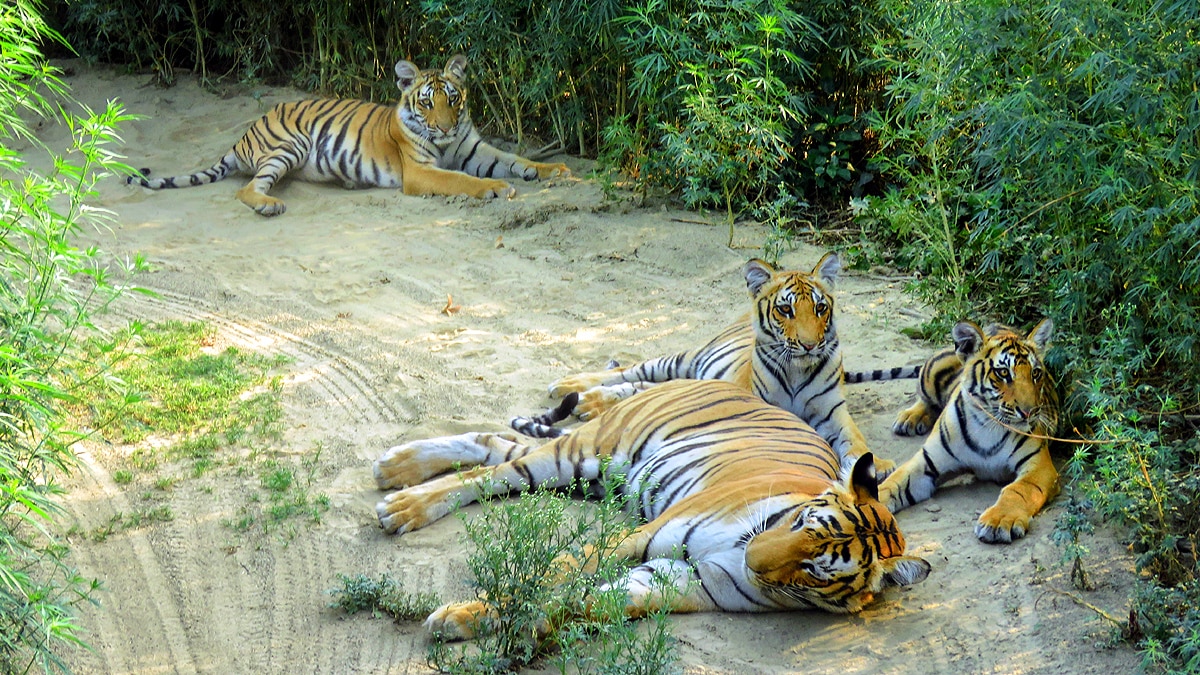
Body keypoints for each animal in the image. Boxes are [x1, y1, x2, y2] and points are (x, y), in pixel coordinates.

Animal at [127, 54, 570, 216]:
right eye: (427, 102)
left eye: (453, 98)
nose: (444, 126)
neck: (446, 141)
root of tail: (242, 136)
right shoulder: (419, 172)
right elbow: (459, 179)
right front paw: (495, 188)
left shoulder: (476, 149)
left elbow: (517, 160)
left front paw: (557, 171)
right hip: (290, 144)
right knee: (246, 188)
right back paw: (269, 205)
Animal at [373, 379, 931, 637]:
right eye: (801, 523)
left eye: (818, 570)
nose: (751, 560)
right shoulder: (640, 536)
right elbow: (565, 570)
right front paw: (468, 614)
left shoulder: (677, 580)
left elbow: (583, 602)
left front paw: (472, 621)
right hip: (589, 451)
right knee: (494, 470)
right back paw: (400, 497)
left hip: (593, 476)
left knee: (494, 446)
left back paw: (396, 472)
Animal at [541, 253, 891, 473]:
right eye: (785, 310)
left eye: (820, 308)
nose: (809, 344)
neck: (797, 369)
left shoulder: (834, 413)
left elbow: (855, 441)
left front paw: (878, 465)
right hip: (682, 360)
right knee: (627, 371)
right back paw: (571, 389)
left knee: (643, 388)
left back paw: (587, 403)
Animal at [878, 319, 1060, 543]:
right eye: (1003, 373)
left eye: (1035, 373)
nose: (1030, 412)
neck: (988, 426)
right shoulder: (927, 461)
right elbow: (892, 483)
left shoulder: (1039, 467)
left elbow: (1018, 490)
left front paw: (999, 520)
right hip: (929, 372)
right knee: (925, 398)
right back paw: (909, 418)